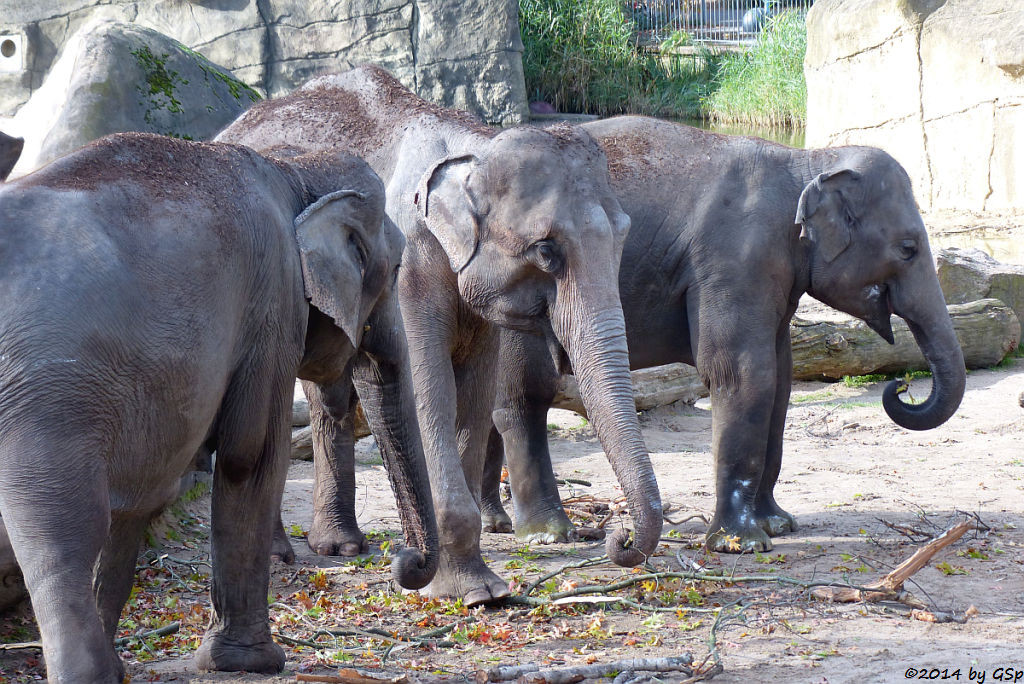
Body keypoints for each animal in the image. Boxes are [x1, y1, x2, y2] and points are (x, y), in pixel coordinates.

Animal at [0, 131, 436, 679]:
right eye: (396, 268)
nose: (404, 561)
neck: (293, 169)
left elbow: (135, 498)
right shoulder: (274, 305)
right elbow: (249, 456)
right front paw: (252, 663)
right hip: (47, 391)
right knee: (61, 530)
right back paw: (86, 676)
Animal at [216, 65, 663, 602]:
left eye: (623, 236)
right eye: (545, 250)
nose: (618, 537)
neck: (473, 145)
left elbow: (472, 396)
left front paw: (484, 588)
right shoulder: (407, 268)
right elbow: (430, 395)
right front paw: (472, 593)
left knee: (331, 397)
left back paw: (341, 547)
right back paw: (283, 553)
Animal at [477, 116, 958, 557]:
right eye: (908, 248)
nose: (900, 387)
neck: (806, 162)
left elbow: (781, 380)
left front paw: (779, 525)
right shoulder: (736, 259)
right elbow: (741, 373)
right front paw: (740, 544)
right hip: (521, 292)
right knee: (524, 396)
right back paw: (547, 535)